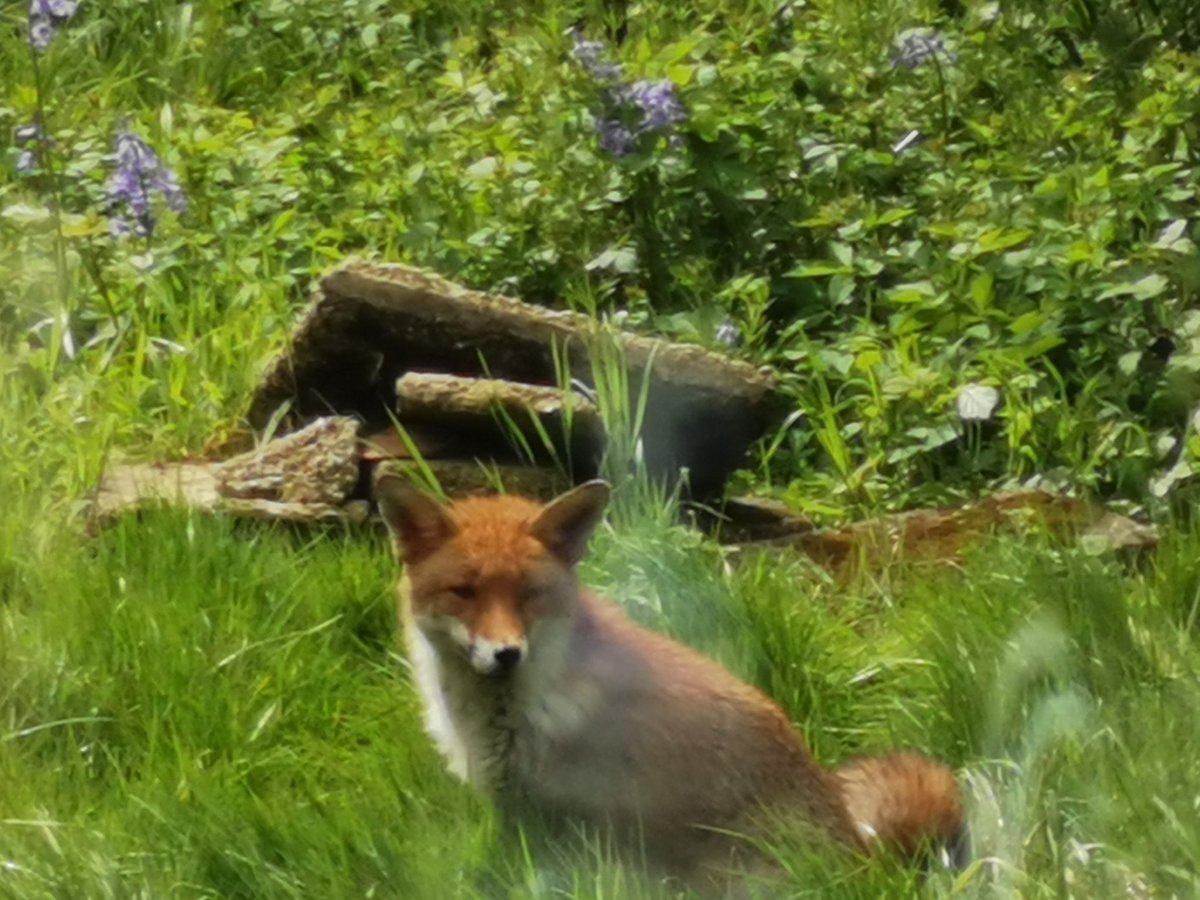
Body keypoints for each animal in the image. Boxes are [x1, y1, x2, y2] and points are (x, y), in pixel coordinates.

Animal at [376, 474, 966, 890]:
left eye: (529, 594)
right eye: (464, 592)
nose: (506, 654)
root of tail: (861, 856)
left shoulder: (582, 822)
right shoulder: (518, 813)